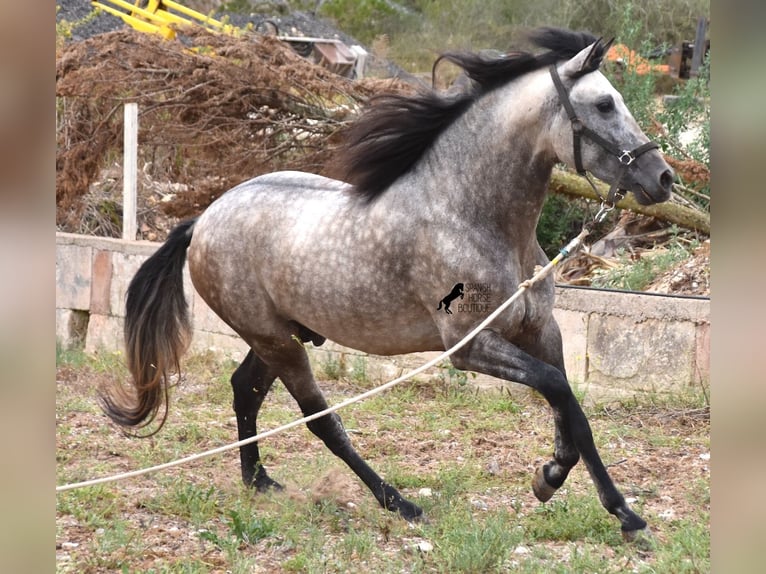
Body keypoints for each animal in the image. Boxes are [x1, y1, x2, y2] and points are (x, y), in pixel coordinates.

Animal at [103, 29, 680, 544]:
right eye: (604, 104)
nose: (663, 178)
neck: (471, 217)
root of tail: (203, 220)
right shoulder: (468, 347)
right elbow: (561, 394)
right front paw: (601, 502)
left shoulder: (541, 331)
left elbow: (570, 408)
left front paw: (573, 488)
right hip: (277, 341)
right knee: (320, 420)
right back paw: (400, 504)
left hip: (278, 336)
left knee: (244, 389)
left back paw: (259, 481)